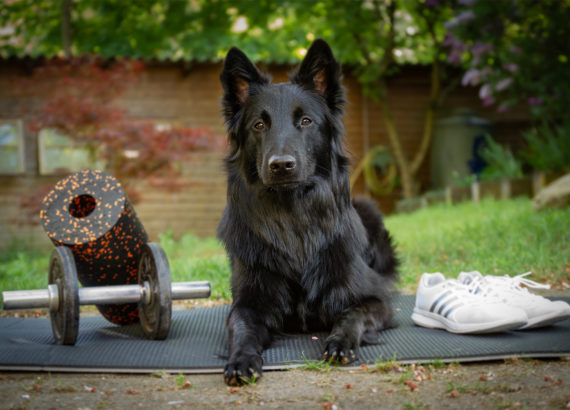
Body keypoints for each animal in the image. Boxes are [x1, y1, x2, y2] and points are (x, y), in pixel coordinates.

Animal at [215, 38, 398, 384]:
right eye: (259, 125)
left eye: (305, 121)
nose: (281, 165)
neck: (293, 219)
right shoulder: (247, 303)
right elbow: (241, 327)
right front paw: (241, 359)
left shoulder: (376, 300)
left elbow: (352, 313)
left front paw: (340, 342)